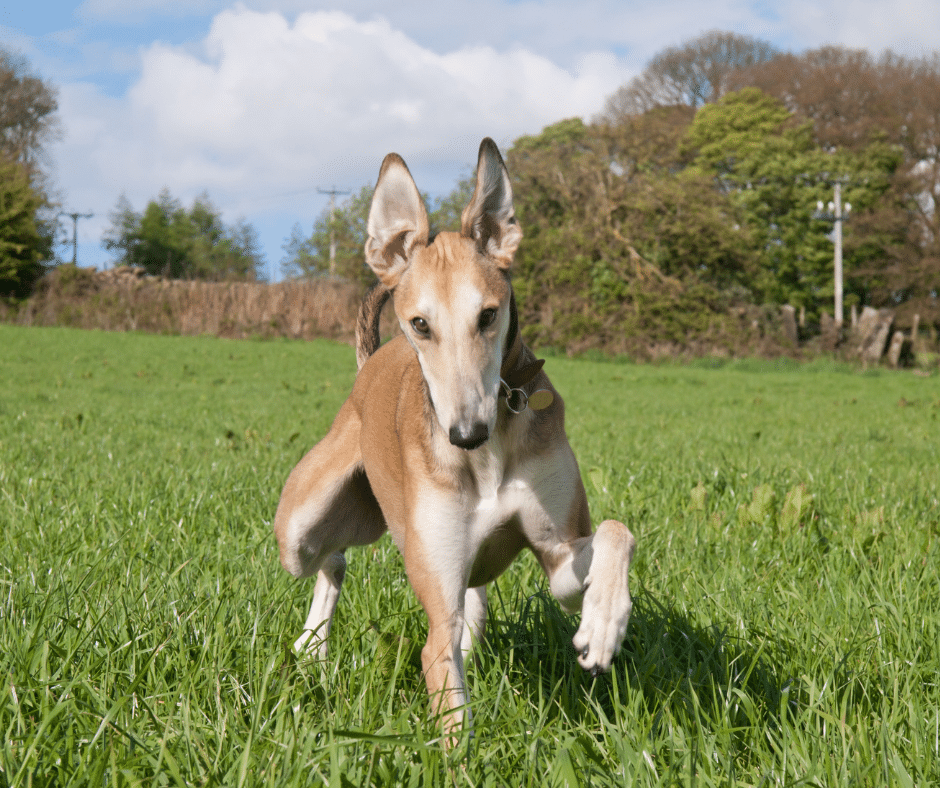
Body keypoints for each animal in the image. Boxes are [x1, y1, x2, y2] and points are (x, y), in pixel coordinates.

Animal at [276, 139, 636, 736]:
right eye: (421, 324)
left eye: (488, 315)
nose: (467, 434)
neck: (489, 459)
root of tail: (368, 364)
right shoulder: (438, 613)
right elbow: (445, 685)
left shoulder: (558, 557)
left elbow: (613, 532)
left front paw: (604, 621)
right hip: (300, 527)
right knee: (329, 559)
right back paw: (311, 646)